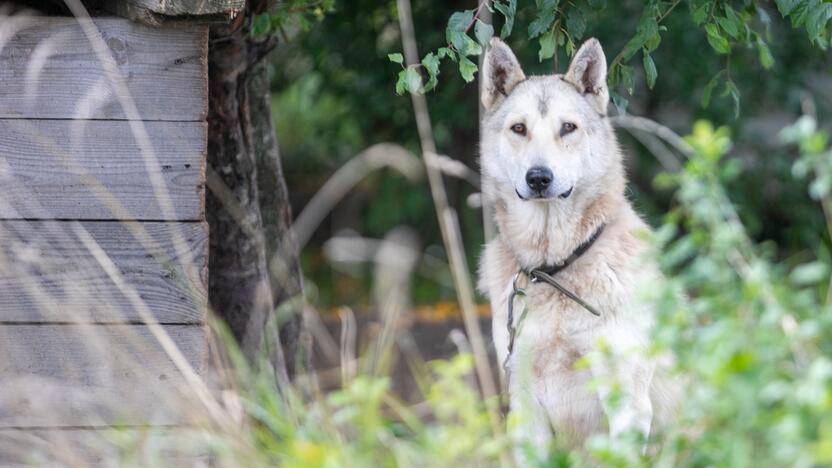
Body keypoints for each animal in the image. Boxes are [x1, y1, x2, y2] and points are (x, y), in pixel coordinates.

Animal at [478, 38, 680, 456]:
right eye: (519, 129)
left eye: (568, 128)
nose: (539, 178)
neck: (551, 269)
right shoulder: (523, 404)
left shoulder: (627, 404)